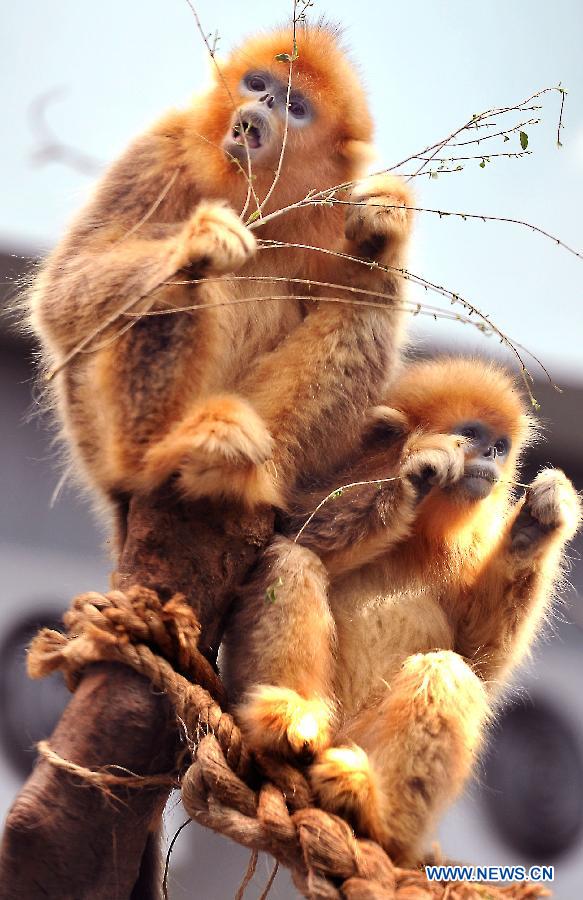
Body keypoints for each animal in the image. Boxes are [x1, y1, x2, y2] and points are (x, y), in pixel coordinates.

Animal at [26, 22, 410, 528]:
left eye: (295, 106)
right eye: (258, 82)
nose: (266, 101)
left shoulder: (334, 207)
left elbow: (358, 278)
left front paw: (385, 222)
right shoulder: (159, 149)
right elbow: (62, 294)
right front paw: (197, 243)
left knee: (360, 297)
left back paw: (249, 477)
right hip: (95, 437)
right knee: (175, 291)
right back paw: (158, 457)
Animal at [222, 356, 580, 864]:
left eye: (500, 446)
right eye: (472, 435)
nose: (490, 457)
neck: (422, 535)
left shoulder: (474, 544)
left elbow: (479, 660)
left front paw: (535, 526)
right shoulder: (327, 485)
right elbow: (293, 532)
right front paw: (417, 473)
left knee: (446, 668)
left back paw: (374, 810)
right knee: (290, 558)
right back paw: (290, 720)